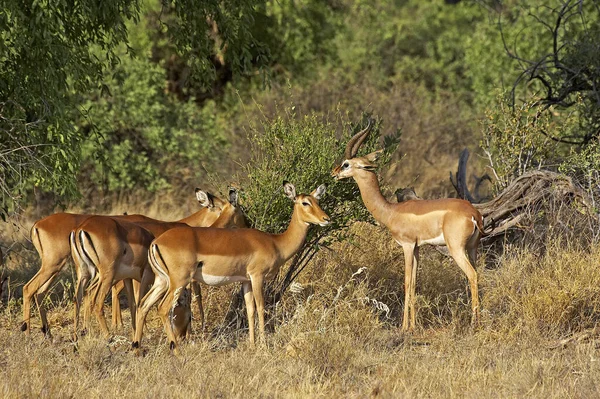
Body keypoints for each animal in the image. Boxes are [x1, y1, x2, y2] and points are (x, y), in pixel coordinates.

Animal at [21, 190, 232, 338]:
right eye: (219, 206)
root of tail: (38, 224)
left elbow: (131, 300)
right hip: (60, 266)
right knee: (31, 288)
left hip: (66, 270)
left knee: (45, 293)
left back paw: (52, 333)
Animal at [132, 182, 330, 354]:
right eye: (305, 202)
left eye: (317, 201)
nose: (326, 219)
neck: (275, 242)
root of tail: (156, 242)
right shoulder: (257, 277)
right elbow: (261, 307)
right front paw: (264, 347)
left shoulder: (246, 281)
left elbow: (249, 310)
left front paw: (252, 345)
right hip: (178, 281)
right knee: (163, 308)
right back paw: (177, 351)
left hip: (162, 281)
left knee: (144, 305)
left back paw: (137, 349)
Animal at [332, 122, 482, 332]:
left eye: (346, 163)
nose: (334, 173)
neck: (391, 210)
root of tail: (473, 214)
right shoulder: (417, 248)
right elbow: (414, 283)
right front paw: (413, 325)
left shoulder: (407, 245)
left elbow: (406, 282)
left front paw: (404, 327)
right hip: (473, 248)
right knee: (477, 274)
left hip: (456, 249)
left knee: (472, 275)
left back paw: (474, 325)